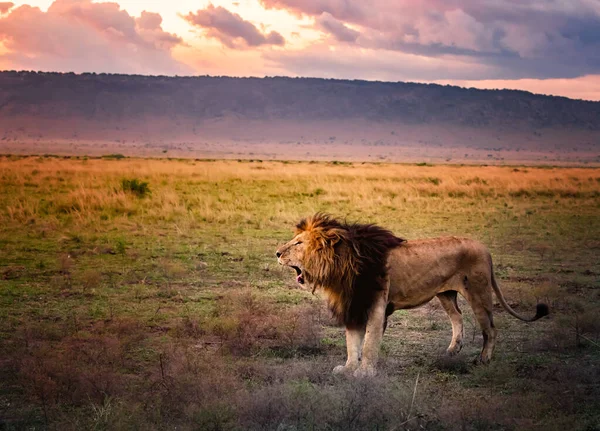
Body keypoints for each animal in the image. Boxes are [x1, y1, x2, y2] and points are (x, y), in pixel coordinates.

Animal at [276, 213, 548, 378]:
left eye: (298, 243)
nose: (277, 253)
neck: (342, 265)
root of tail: (485, 248)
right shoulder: (354, 304)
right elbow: (352, 342)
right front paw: (349, 368)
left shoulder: (375, 304)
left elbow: (370, 342)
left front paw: (365, 373)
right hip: (446, 294)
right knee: (457, 316)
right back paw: (453, 350)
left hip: (479, 292)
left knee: (490, 328)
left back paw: (483, 360)